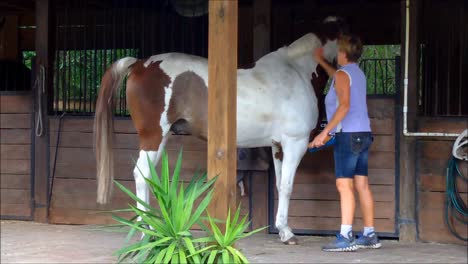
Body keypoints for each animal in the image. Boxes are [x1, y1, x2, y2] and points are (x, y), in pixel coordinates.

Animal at [93, 16, 346, 243]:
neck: (296, 72)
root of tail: (139, 63)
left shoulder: (279, 146)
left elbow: (279, 183)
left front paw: (282, 229)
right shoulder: (295, 143)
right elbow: (286, 186)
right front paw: (289, 234)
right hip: (153, 136)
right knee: (142, 174)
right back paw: (148, 232)